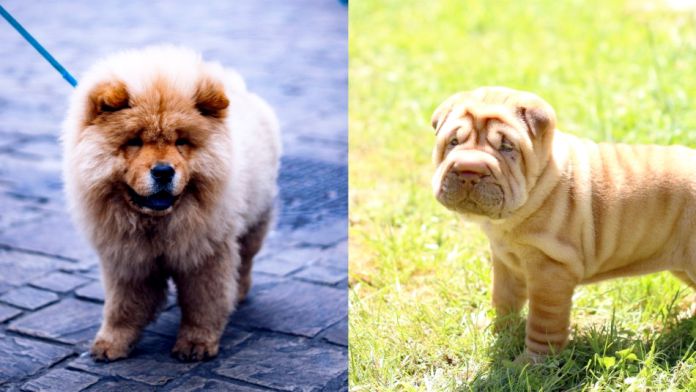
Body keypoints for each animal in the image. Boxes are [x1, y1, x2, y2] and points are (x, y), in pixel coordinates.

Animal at [62, 46, 280, 362]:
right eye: (135, 142)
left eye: (181, 142)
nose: (163, 171)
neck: (156, 223)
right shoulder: (126, 261)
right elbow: (121, 307)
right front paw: (111, 344)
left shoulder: (205, 256)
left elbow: (203, 304)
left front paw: (196, 344)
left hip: (255, 221)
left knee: (245, 261)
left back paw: (238, 292)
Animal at [432, 87, 696, 362]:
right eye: (453, 142)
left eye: (506, 147)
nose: (469, 170)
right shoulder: (506, 260)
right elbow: (503, 299)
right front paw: (499, 334)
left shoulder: (551, 270)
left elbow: (543, 322)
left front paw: (531, 363)